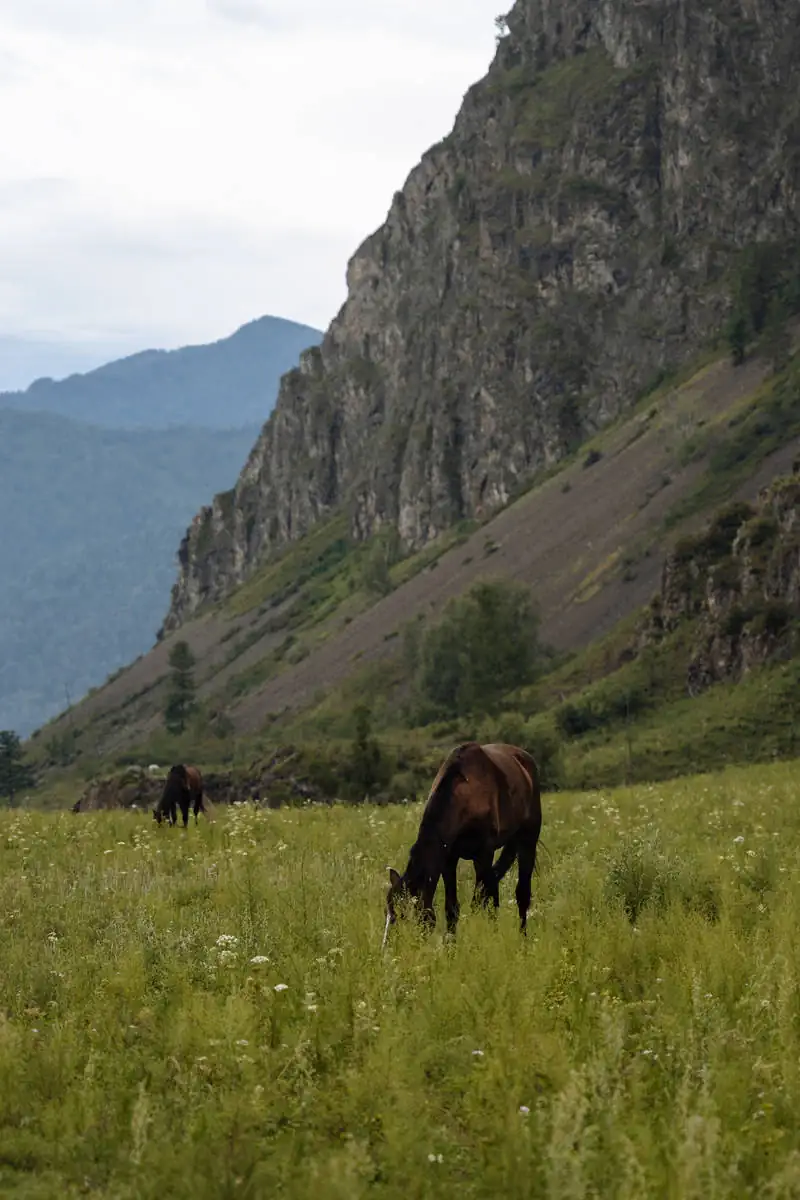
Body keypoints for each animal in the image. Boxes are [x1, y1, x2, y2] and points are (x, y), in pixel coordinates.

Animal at [383, 739, 544, 945]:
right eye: (389, 912)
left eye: (404, 916)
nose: (388, 948)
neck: (464, 795)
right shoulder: (449, 859)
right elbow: (452, 907)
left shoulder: (484, 853)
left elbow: (486, 900)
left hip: (527, 841)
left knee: (521, 893)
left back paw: (523, 939)